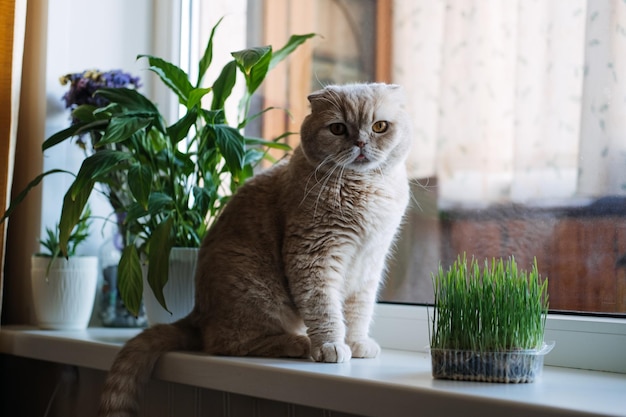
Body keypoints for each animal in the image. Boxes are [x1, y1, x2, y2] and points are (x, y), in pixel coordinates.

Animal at [97, 82, 412, 416]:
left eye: (379, 127)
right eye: (338, 128)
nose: (361, 143)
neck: (365, 190)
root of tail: (196, 314)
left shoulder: (369, 264)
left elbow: (358, 311)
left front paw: (356, 342)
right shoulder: (314, 257)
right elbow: (325, 308)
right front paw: (331, 346)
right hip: (256, 292)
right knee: (225, 344)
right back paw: (298, 343)